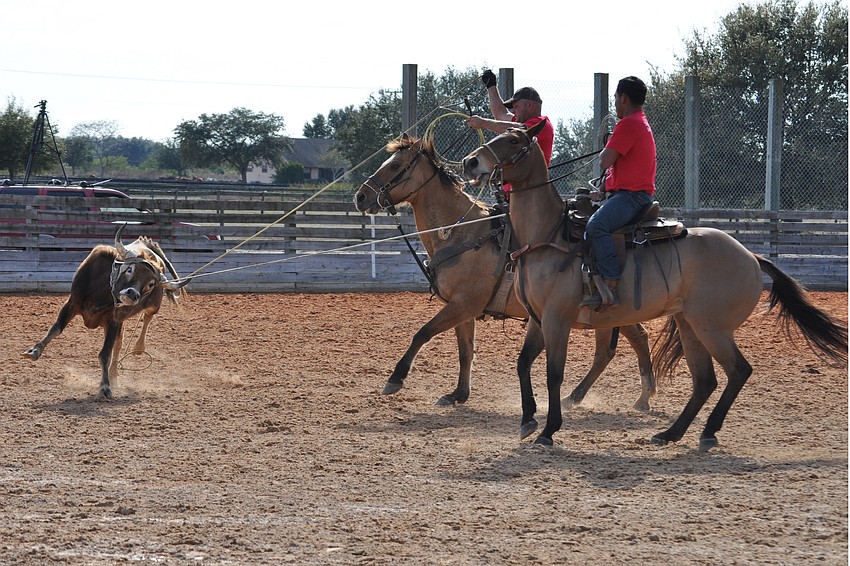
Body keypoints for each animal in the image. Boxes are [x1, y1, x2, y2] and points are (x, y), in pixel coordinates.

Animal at [24, 224, 191, 399]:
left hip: (153, 305)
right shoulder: (71, 304)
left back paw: (138, 348)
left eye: (151, 284)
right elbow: (55, 329)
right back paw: (113, 374)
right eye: (130, 269)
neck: (102, 292)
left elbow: (105, 354)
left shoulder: (113, 320)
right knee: (119, 344)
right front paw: (34, 350)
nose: (133, 294)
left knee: (147, 318)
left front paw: (105, 387)